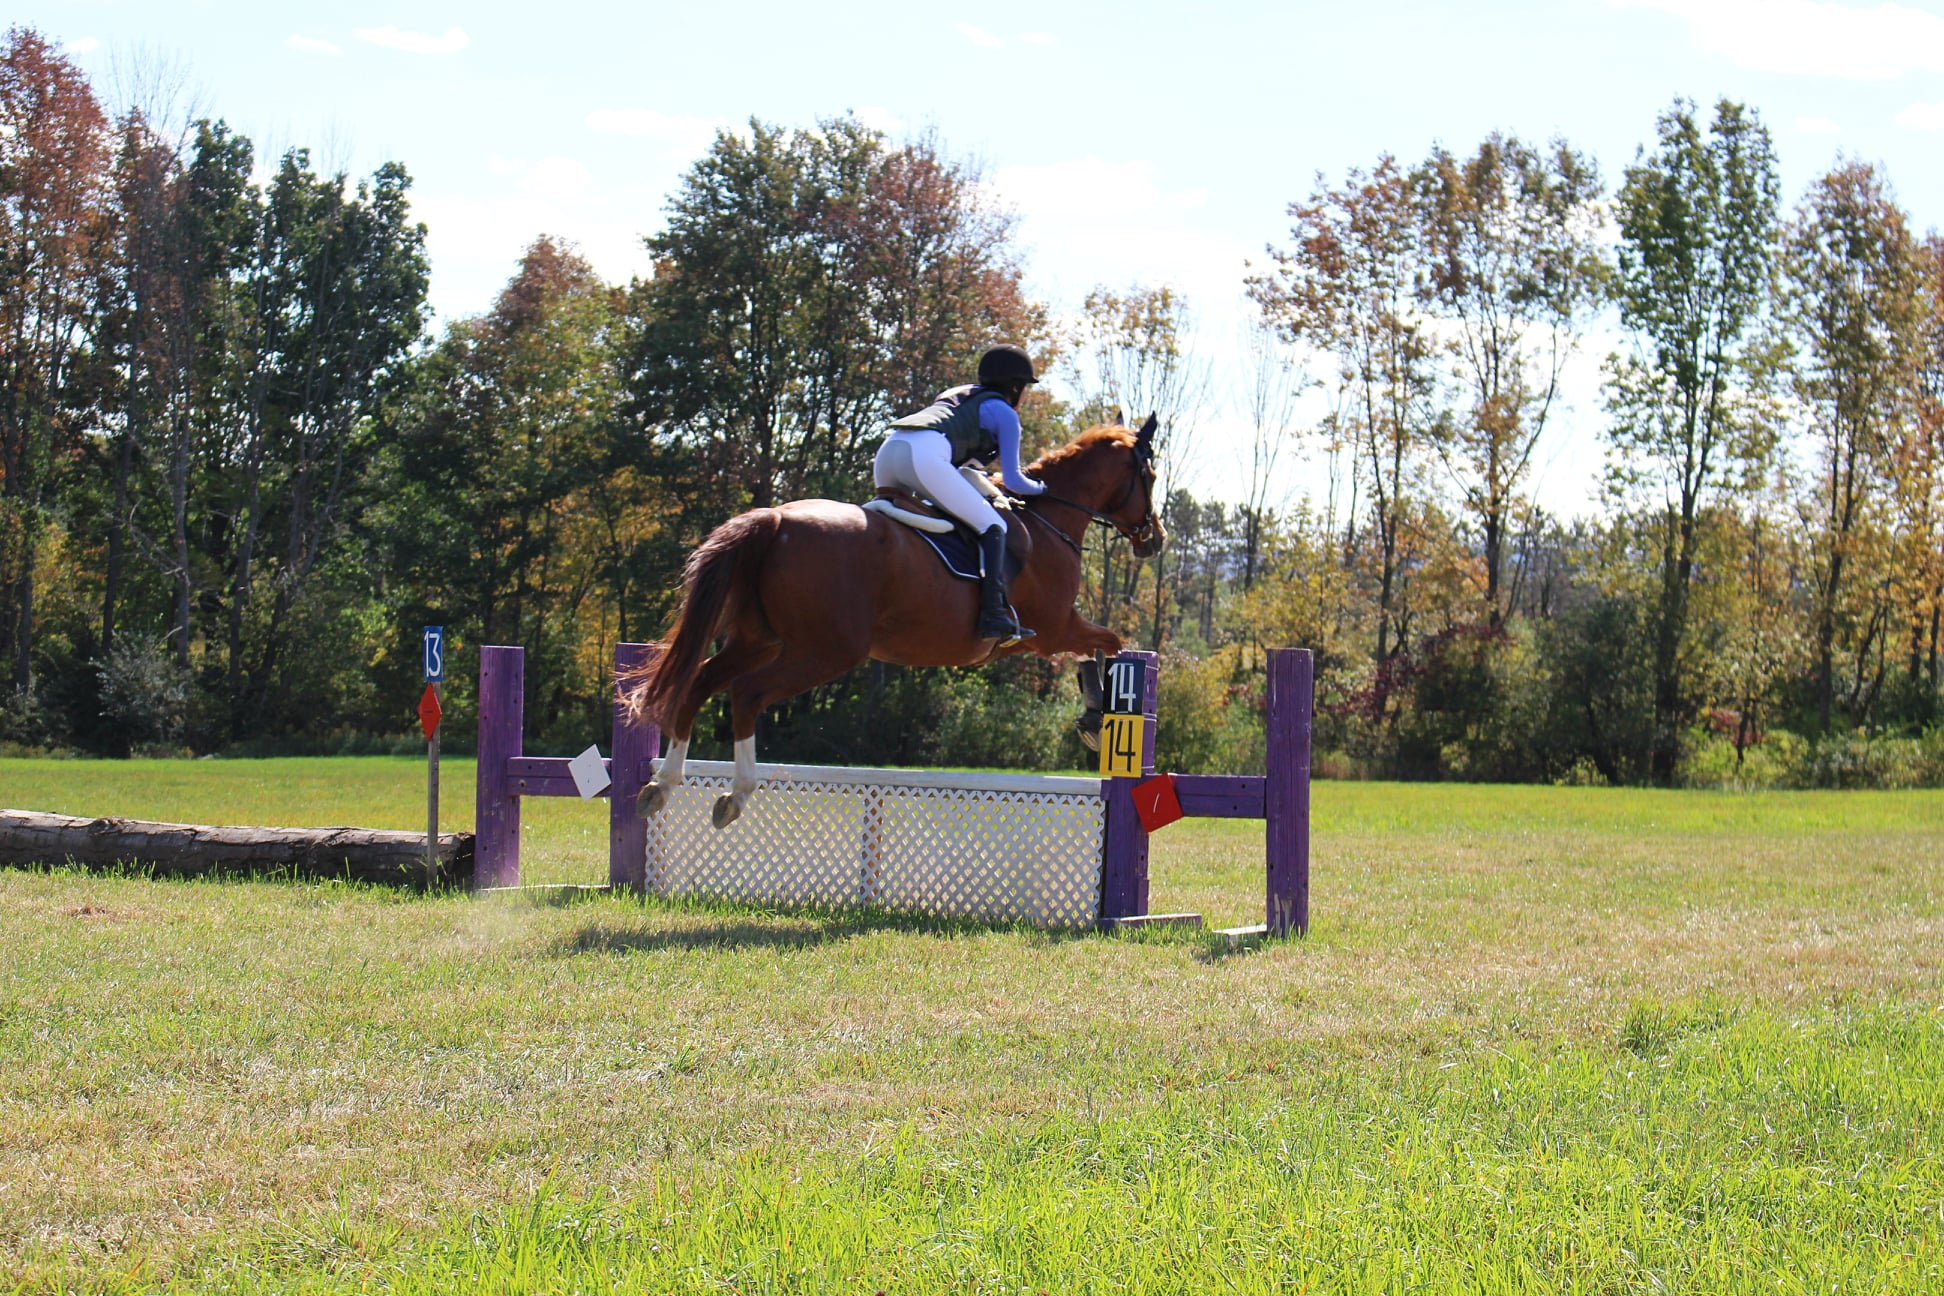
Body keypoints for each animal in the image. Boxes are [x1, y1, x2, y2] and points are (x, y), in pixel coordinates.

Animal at [624, 415, 1165, 827]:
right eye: (1151, 477)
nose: (1154, 539)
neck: (1049, 520)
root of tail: (776, 520)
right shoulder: (1054, 628)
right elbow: (1110, 642)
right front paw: (1095, 716)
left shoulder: (1037, 638)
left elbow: (1094, 647)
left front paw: (1092, 715)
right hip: (826, 652)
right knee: (747, 694)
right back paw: (735, 794)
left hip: (761, 640)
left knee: (699, 682)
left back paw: (661, 786)